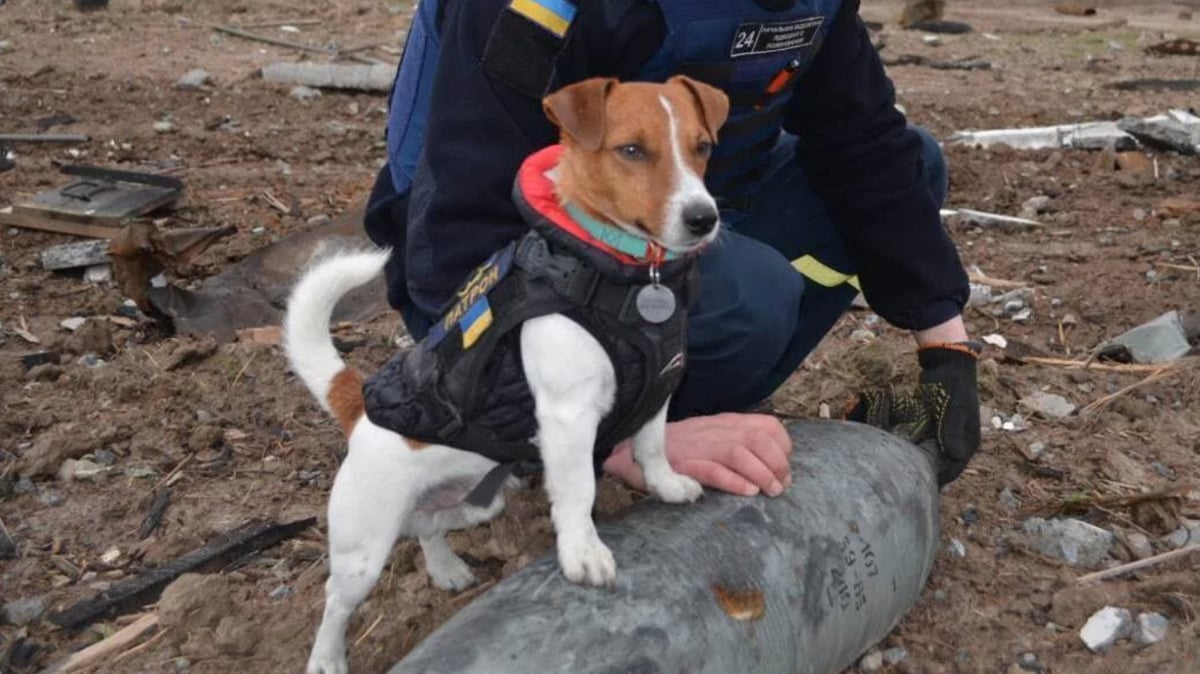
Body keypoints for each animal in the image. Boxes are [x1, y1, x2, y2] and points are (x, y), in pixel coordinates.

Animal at [283, 74, 729, 671]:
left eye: (702, 147)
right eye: (632, 150)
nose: (704, 218)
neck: (632, 276)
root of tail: (358, 407)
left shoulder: (660, 386)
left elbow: (653, 445)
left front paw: (666, 485)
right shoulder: (568, 416)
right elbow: (579, 489)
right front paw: (582, 552)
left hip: (474, 501)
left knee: (427, 528)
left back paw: (445, 568)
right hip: (364, 547)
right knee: (336, 600)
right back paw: (327, 657)